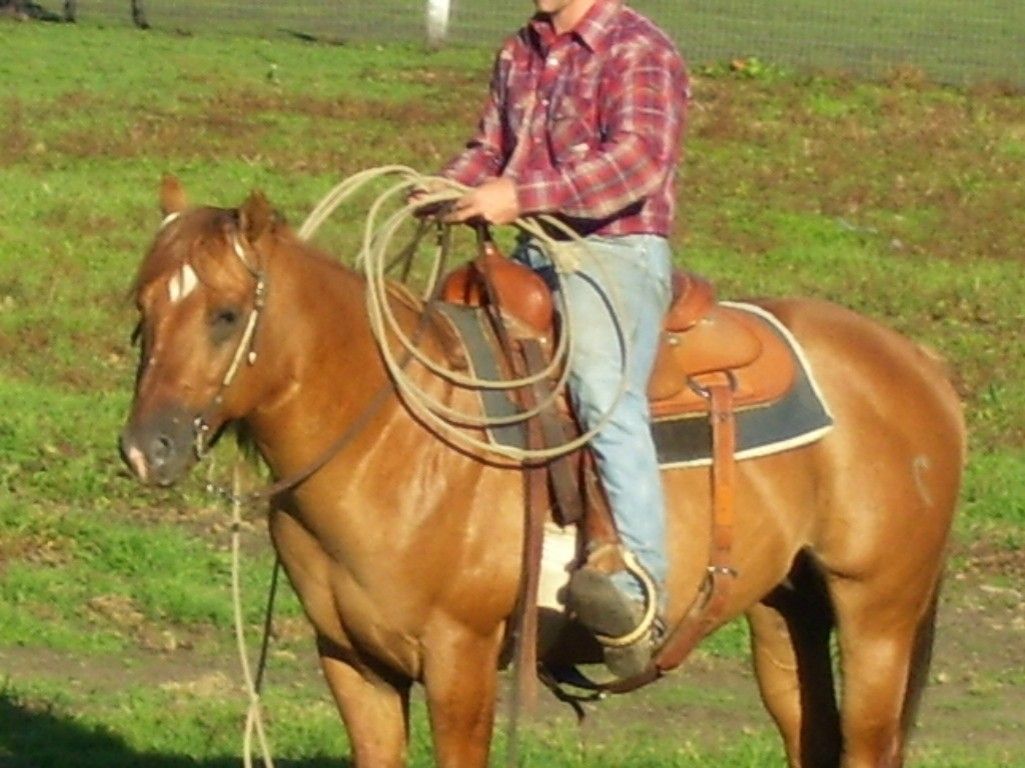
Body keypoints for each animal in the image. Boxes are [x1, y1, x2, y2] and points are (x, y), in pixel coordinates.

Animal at [121, 178, 967, 766]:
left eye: (226, 313)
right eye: (142, 310)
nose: (145, 449)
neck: (395, 440)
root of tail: (917, 364)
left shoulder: (459, 658)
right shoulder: (351, 662)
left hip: (876, 611)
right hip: (784, 610)